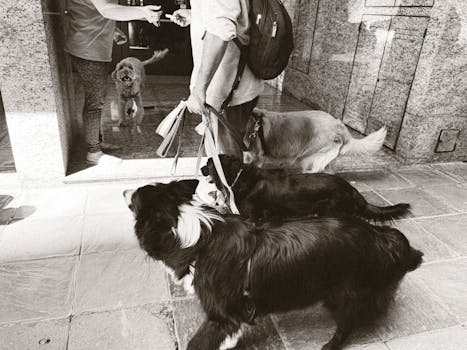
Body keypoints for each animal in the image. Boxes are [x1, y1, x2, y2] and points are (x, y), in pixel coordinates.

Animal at [123, 180, 424, 350]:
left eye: (135, 197)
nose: (123, 189)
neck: (199, 237)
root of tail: (382, 237)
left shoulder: (222, 314)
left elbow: (198, 343)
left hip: (347, 294)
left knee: (348, 325)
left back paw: (331, 344)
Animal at [201, 154, 410, 223]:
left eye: (209, 163)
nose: (201, 168)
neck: (239, 175)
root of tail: (351, 189)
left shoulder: (251, 217)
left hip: (331, 212)